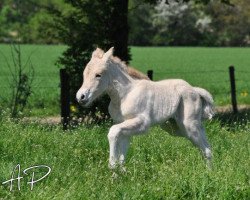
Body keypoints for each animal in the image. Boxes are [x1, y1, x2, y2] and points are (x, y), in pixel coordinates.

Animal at [77, 47, 214, 169]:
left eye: (98, 75)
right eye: (84, 74)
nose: (81, 97)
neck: (125, 94)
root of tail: (195, 90)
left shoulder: (142, 123)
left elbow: (113, 132)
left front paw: (112, 166)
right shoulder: (125, 127)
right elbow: (122, 154)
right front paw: (119, 175)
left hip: (188, 125)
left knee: (206, 149)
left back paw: (208, 174)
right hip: (175, 128)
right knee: (205, 145)